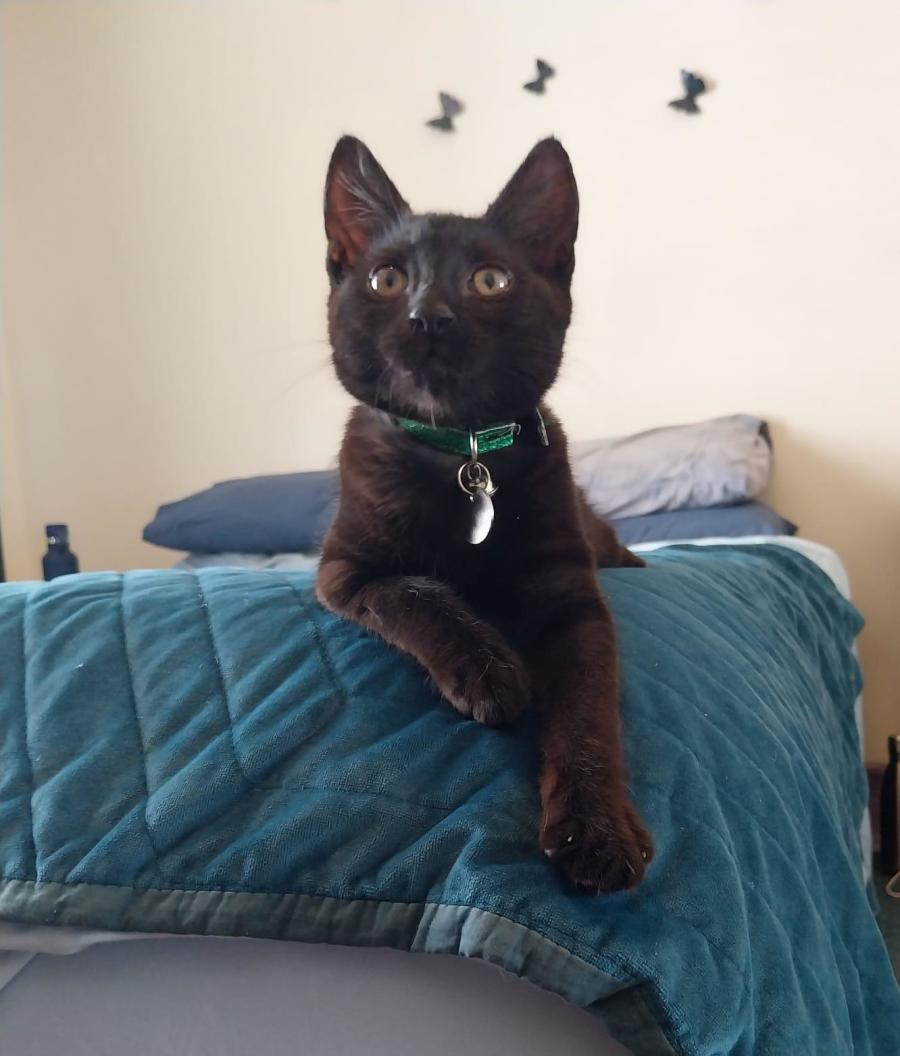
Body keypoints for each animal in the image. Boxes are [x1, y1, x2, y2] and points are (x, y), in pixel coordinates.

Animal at [316, 135, 653, 893]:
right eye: (386, 280)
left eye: (490, 281)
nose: (430, 317)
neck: (461, 454)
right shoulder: (343, 570)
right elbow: (414, 592)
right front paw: (489, 670)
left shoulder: (572, 593)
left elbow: (588, 705)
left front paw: (597, 828)